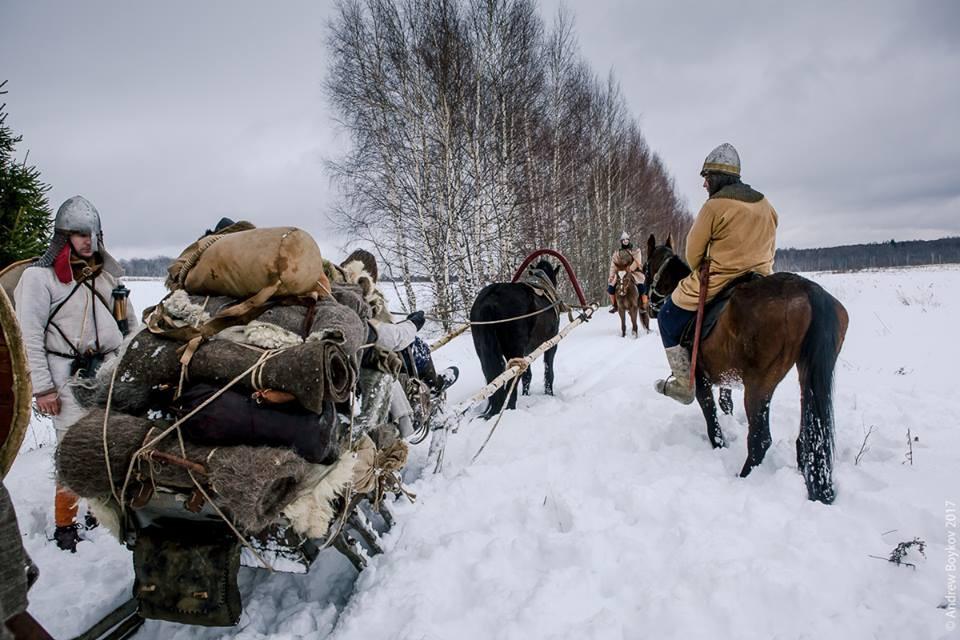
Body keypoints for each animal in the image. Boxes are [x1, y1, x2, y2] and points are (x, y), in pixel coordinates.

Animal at [468, 260, 560, 420]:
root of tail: (491, 299)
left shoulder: (526, 353)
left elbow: (527, 376)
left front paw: (526, 394)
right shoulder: (551, 344)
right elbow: (549, 371)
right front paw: (549, 394)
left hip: (485, 350)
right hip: (514, 349)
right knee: (512, 380)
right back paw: (510, 408)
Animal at [644, 232, 848, 502]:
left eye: (645, 268)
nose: (650, 308)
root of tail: (809, 291)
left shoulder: (701, 379)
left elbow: (711, 419)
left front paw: (719, 446)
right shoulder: (725, 377)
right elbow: (725, 404)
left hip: (759, 383)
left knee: (760, 439)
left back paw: (742, 478)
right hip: (806, 376)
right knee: (808, 436)